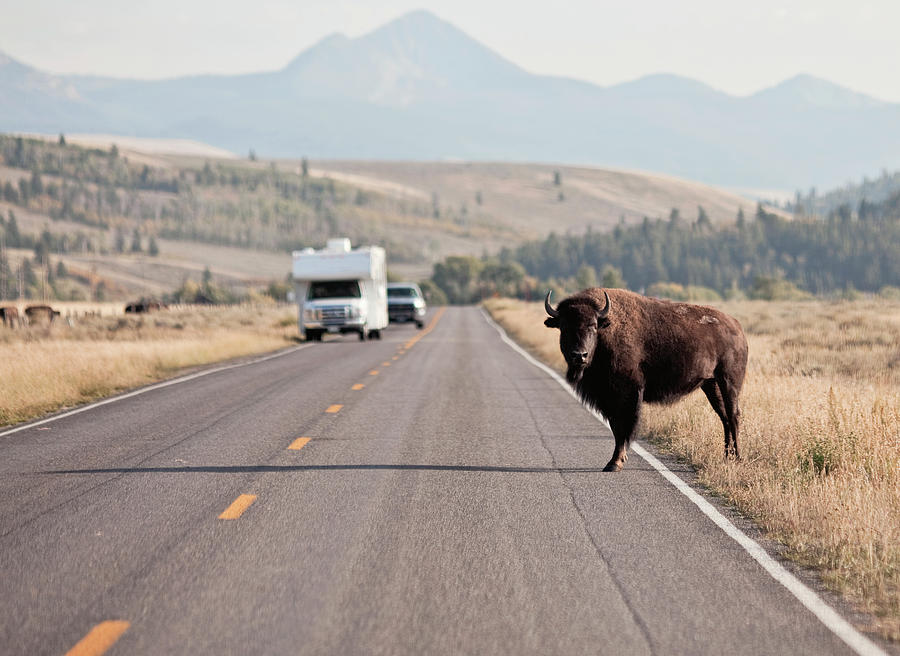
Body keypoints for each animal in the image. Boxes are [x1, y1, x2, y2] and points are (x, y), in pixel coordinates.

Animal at [544, 288, 748, 471]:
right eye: (564, 326)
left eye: (593, 325)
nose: (579, 355)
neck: (606, 333)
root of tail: (737, 327)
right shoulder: (608, 399)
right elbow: (615, 427)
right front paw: (618, 460)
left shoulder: (627, 395)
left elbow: (624, 428)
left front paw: (614, 463)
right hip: (711, 384)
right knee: (724, 417)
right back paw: (727, 456)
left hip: (729, 381)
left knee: (733, 415)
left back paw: (737, 458)